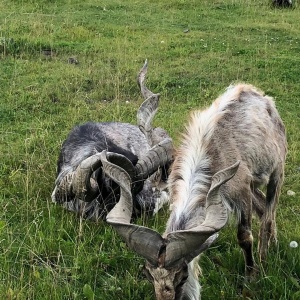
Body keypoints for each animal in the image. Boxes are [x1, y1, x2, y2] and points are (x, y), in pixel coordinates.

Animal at [104, 82, 288, 300]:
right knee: (262, 207)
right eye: (147, 274)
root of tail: (258, 94)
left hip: (277, 170)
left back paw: (265, 254)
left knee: (268, 214)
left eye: (182, 276)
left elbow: (244, 236)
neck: (206, 158)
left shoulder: (241, 190)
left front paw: (251, 277)